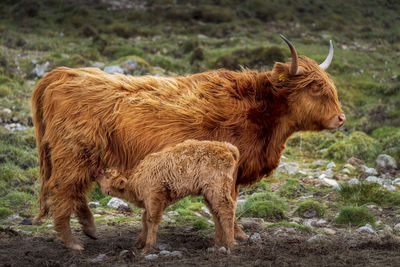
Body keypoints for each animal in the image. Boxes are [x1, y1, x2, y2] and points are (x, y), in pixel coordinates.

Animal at [96, 139, 241, 254]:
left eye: (107, 175)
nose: (97, 173)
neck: (137, 178)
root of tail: (226, 147)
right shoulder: (150, 203)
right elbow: (144, 220)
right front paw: (138, 244)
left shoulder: (154, 198)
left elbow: (151, 221)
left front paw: (148, 248)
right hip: (208, 194)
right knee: (216, 213)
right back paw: (217, 245)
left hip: (217, 189)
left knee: (226, 210)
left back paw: (230, 245)